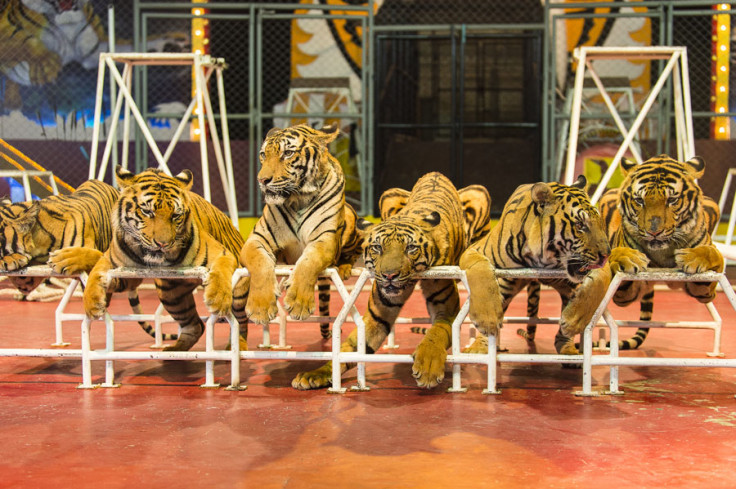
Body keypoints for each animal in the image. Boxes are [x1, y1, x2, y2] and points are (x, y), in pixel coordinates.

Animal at [82, 168, 246, 350]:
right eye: (147, 212)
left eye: (175, 215)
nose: (162, 243)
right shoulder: (116, 266)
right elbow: (96, 273)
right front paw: (91, 304)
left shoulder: (222, 253)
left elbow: (220, 272)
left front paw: (218, 299)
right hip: (171, 296)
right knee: (195, 325)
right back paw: (175, 349)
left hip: (239, 290)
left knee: (240, 323)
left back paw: (237, 346)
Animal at [237, 122, 368, 344]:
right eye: (263, 154)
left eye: (288, 153)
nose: (262, 180)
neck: (297, 197)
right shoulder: (257, 239)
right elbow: (260, 263)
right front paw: (260, 307)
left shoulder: (324, 239)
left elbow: (309, 262)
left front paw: (298, 303)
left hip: (351, 222)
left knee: (356, 248)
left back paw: (343, 267)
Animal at [290, 172, 492, 388]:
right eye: (377, 247)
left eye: (410, 248)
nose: (389, 275)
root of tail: (435, 174)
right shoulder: (379, 314)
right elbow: (352, 347)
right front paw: (316, 374)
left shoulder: (447, 309)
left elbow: (436, 333)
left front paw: (428, 368)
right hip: (389, 195)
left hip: (479, 195)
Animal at [460, 175, 608, 354]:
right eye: (580, 225)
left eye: (600, 223)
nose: (606, 254)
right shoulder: (475, 250)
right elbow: (481, 274)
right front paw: (486, 319)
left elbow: (597, 284)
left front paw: (574, 321)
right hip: (507, 285)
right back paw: (478, 348)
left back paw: (569, 349)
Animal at [576, 154, 724, 348]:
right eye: (640, 201)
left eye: (672, 200)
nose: (654, 232)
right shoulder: (624, 293)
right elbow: (617, 256)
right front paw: (627, 258)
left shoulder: (705, 291)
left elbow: (711, 253)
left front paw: (693, 258)